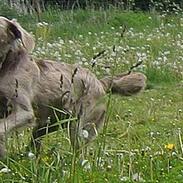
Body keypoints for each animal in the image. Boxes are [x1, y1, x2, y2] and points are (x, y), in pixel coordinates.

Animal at [0, 16, 147, 158]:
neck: (5, 65)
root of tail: (100, 83)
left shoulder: (24, 112)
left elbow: (2, 128)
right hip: (47, 124)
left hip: (79, 126)